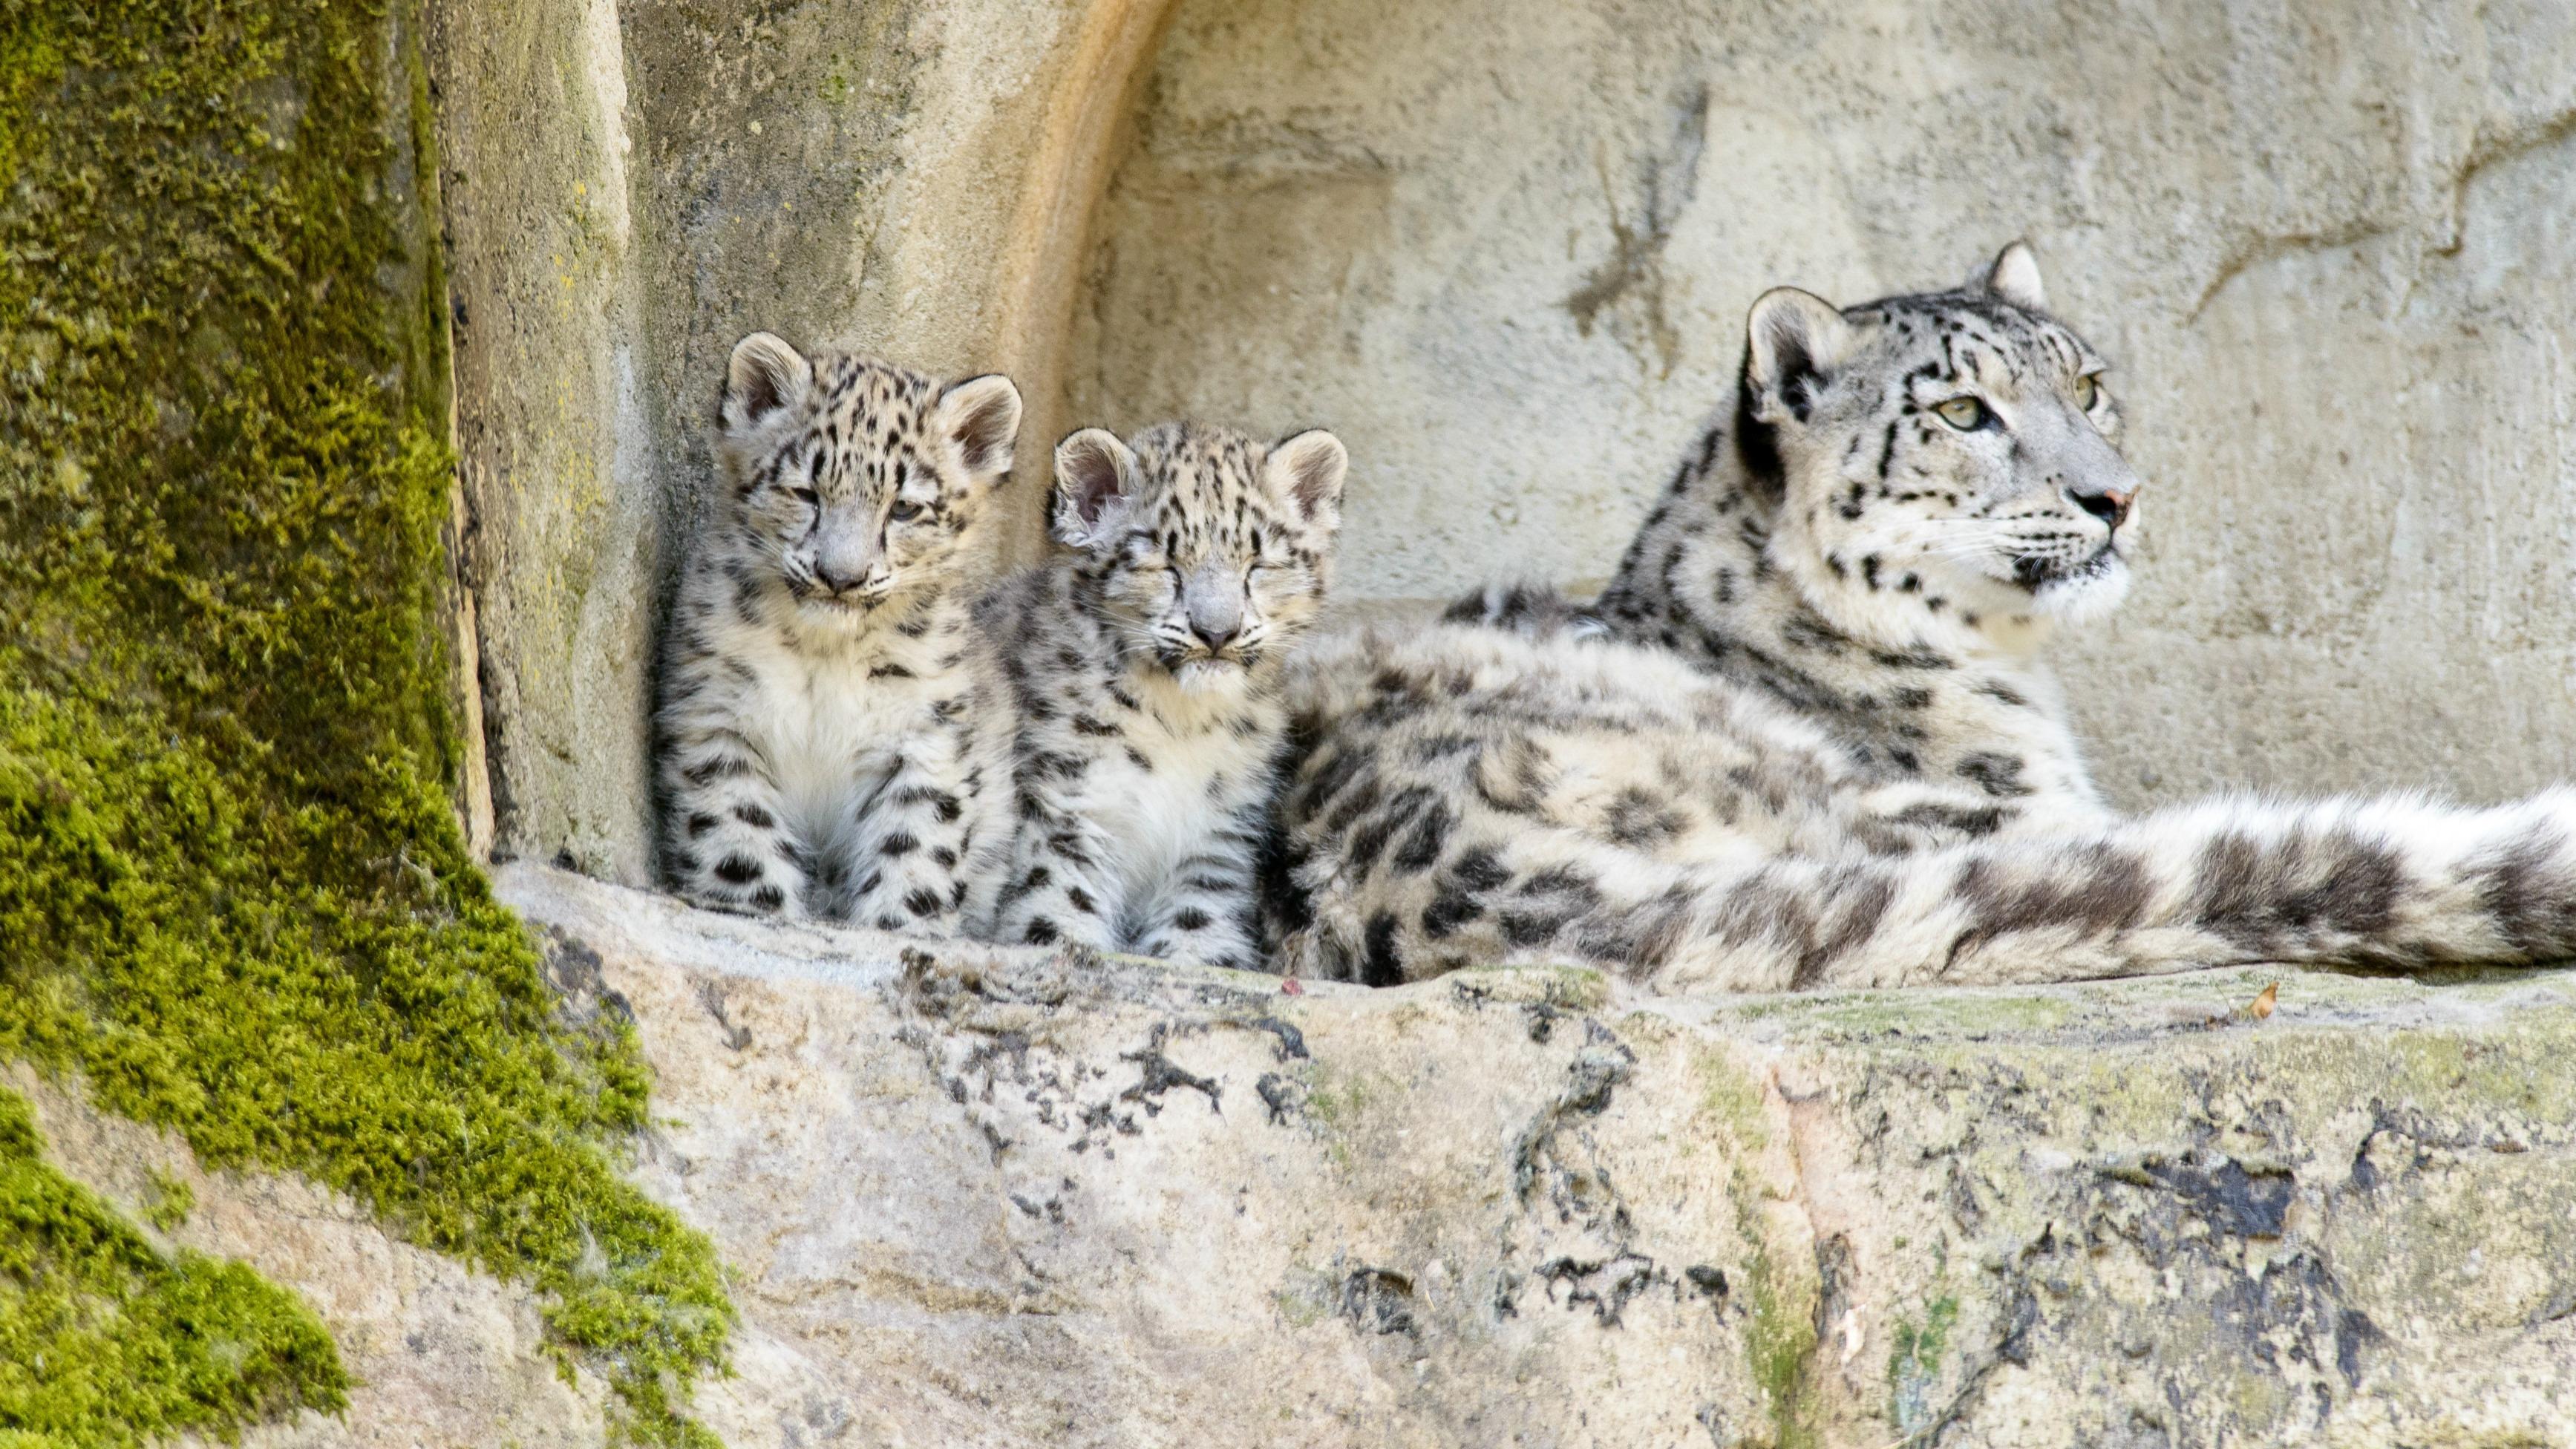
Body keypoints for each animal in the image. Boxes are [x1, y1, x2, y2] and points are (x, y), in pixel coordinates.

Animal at [656, 332, 1022, 927]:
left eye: (905, 508)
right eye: (806, 492)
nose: (841, 576)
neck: (825, 658)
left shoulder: (926, 738)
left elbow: (915, 848)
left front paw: (898, 924)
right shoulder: (717, 717)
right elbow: (739, 835)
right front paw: (760, 908)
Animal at [964, 420, 1348, 970]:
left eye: (1258, 565)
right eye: (1165, 564)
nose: (1217, 632)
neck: (1181, 722)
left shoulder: (1216, 836)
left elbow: (1200, 926)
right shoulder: (1068, 808)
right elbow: (1055, 907)